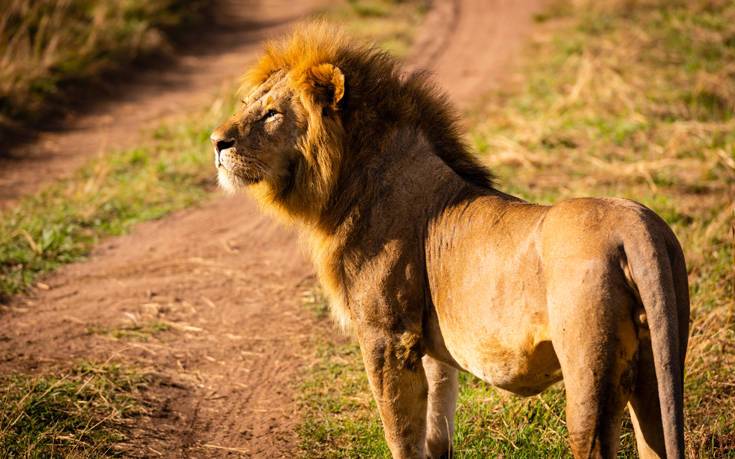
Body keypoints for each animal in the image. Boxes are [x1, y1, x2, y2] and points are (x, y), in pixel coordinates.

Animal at [208, 25, 688, 459]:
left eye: (272, 114)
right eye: (248, 104)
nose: (216, 142)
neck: (349, 184)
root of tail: (637, 228)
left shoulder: (388, 338)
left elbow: (401, 436)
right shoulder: (429, 347)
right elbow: (438, 429)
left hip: (590, 375)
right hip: (658, 366)